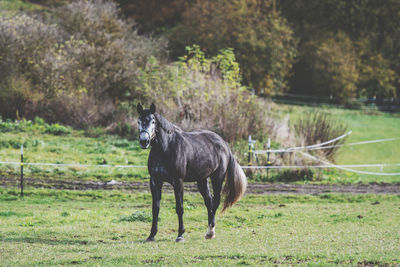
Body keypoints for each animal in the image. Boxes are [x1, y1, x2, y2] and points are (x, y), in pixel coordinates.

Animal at [136, 103, 245, 243]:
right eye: (139, 121)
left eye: (153, 121)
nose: (144, 141)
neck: (165, 148)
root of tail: (224, 144)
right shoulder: (155, 181)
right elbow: (155, 209)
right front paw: (151, 235)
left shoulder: (178, 182)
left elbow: (179, 208)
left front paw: (180, 235)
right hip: (202, 180)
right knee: (209, 202)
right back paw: (209, 232)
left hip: (217, 178)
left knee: (215, 202)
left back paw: (210, 231)